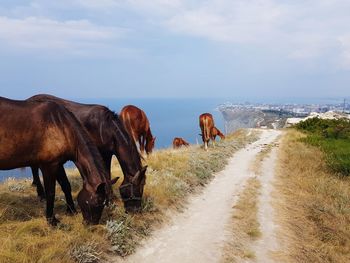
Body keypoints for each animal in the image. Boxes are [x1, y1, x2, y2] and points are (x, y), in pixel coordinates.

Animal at [0, 98, 117, 226]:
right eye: (97, 202)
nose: (91, 223)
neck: (61, 126)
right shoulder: (48, 166)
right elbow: (51, 192)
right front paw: (52, 220)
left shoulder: (58, 164)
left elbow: (66, 185)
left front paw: (71, 210)